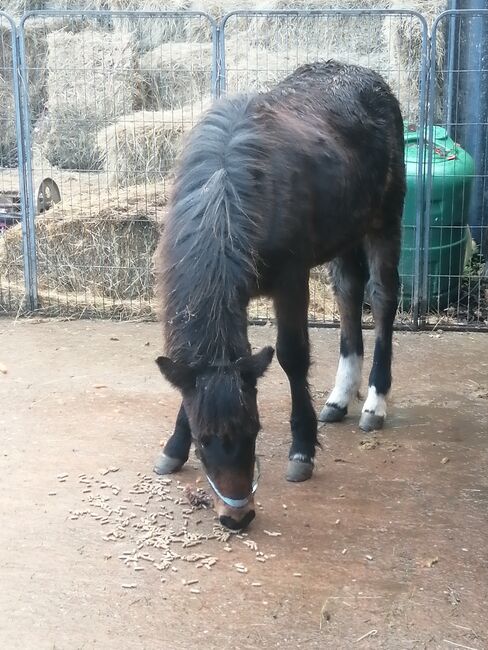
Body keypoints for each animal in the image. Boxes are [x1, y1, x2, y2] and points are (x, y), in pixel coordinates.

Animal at [154, 60, 406, 530]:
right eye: (203, 438)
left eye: (254, 430)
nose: (237, 516)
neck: (229, 195)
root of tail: (370, 79)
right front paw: (173, 447)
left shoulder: (291, 282)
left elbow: (292, 357)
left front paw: (302, 449)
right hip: (345, 236)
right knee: (348, 294)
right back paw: (339, 398)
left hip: (385, 219)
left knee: (382, 300)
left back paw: (373, 403)